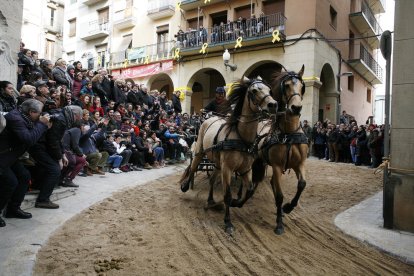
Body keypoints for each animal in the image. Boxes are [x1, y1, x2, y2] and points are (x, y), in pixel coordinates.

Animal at [179, 76, 278, 235]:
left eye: (269, 90)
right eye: (254, 91)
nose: (273, 105)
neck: (241, 137)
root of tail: (210, 118)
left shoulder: (246, 169)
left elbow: (249, 190)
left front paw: (236, 203)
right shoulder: (228, 169)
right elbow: (227, 194)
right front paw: (228, 222)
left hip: (218, 163)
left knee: (212, 179)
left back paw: (211, 200)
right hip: (200, 152)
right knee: (193, 168)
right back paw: (185, 185)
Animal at [254, 65, 308, 235]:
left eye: (302, 86)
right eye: (287, 85)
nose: (296, 108)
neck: (289, 134)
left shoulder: (300, 164)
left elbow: (302, 184)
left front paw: (288, 207)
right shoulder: (277, 166)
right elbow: (279, 195)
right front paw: (279, 223)